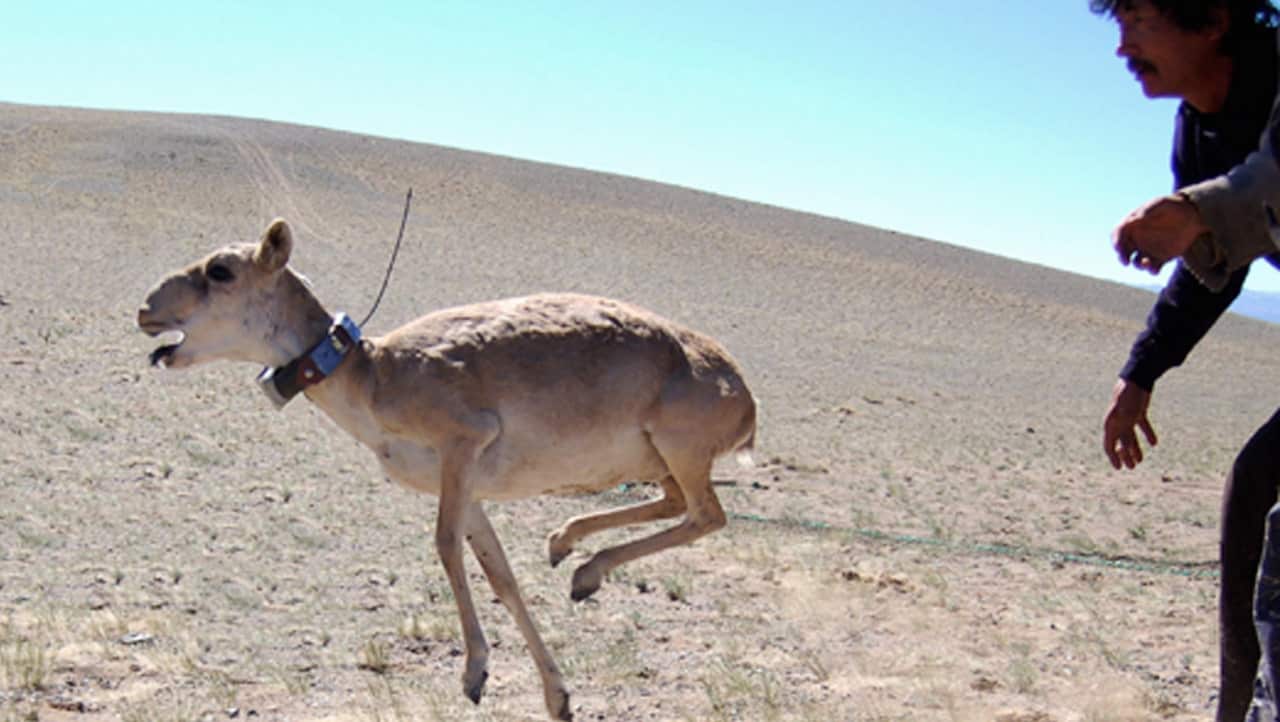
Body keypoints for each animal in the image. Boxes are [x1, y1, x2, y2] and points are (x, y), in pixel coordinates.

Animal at [136, 219, 757, 720]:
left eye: (220, 270)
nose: (145, 309)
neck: (374, 375)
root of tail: (742, 393)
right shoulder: (468, 488)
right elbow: (500, 573)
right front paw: (556, 697)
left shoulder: (463, 444)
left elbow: (444, 546)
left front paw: (475, 673)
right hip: (658, 462)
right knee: (677, 504)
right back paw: (568, 550)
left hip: (680, 450)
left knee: (707, 515)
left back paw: (585, 569)